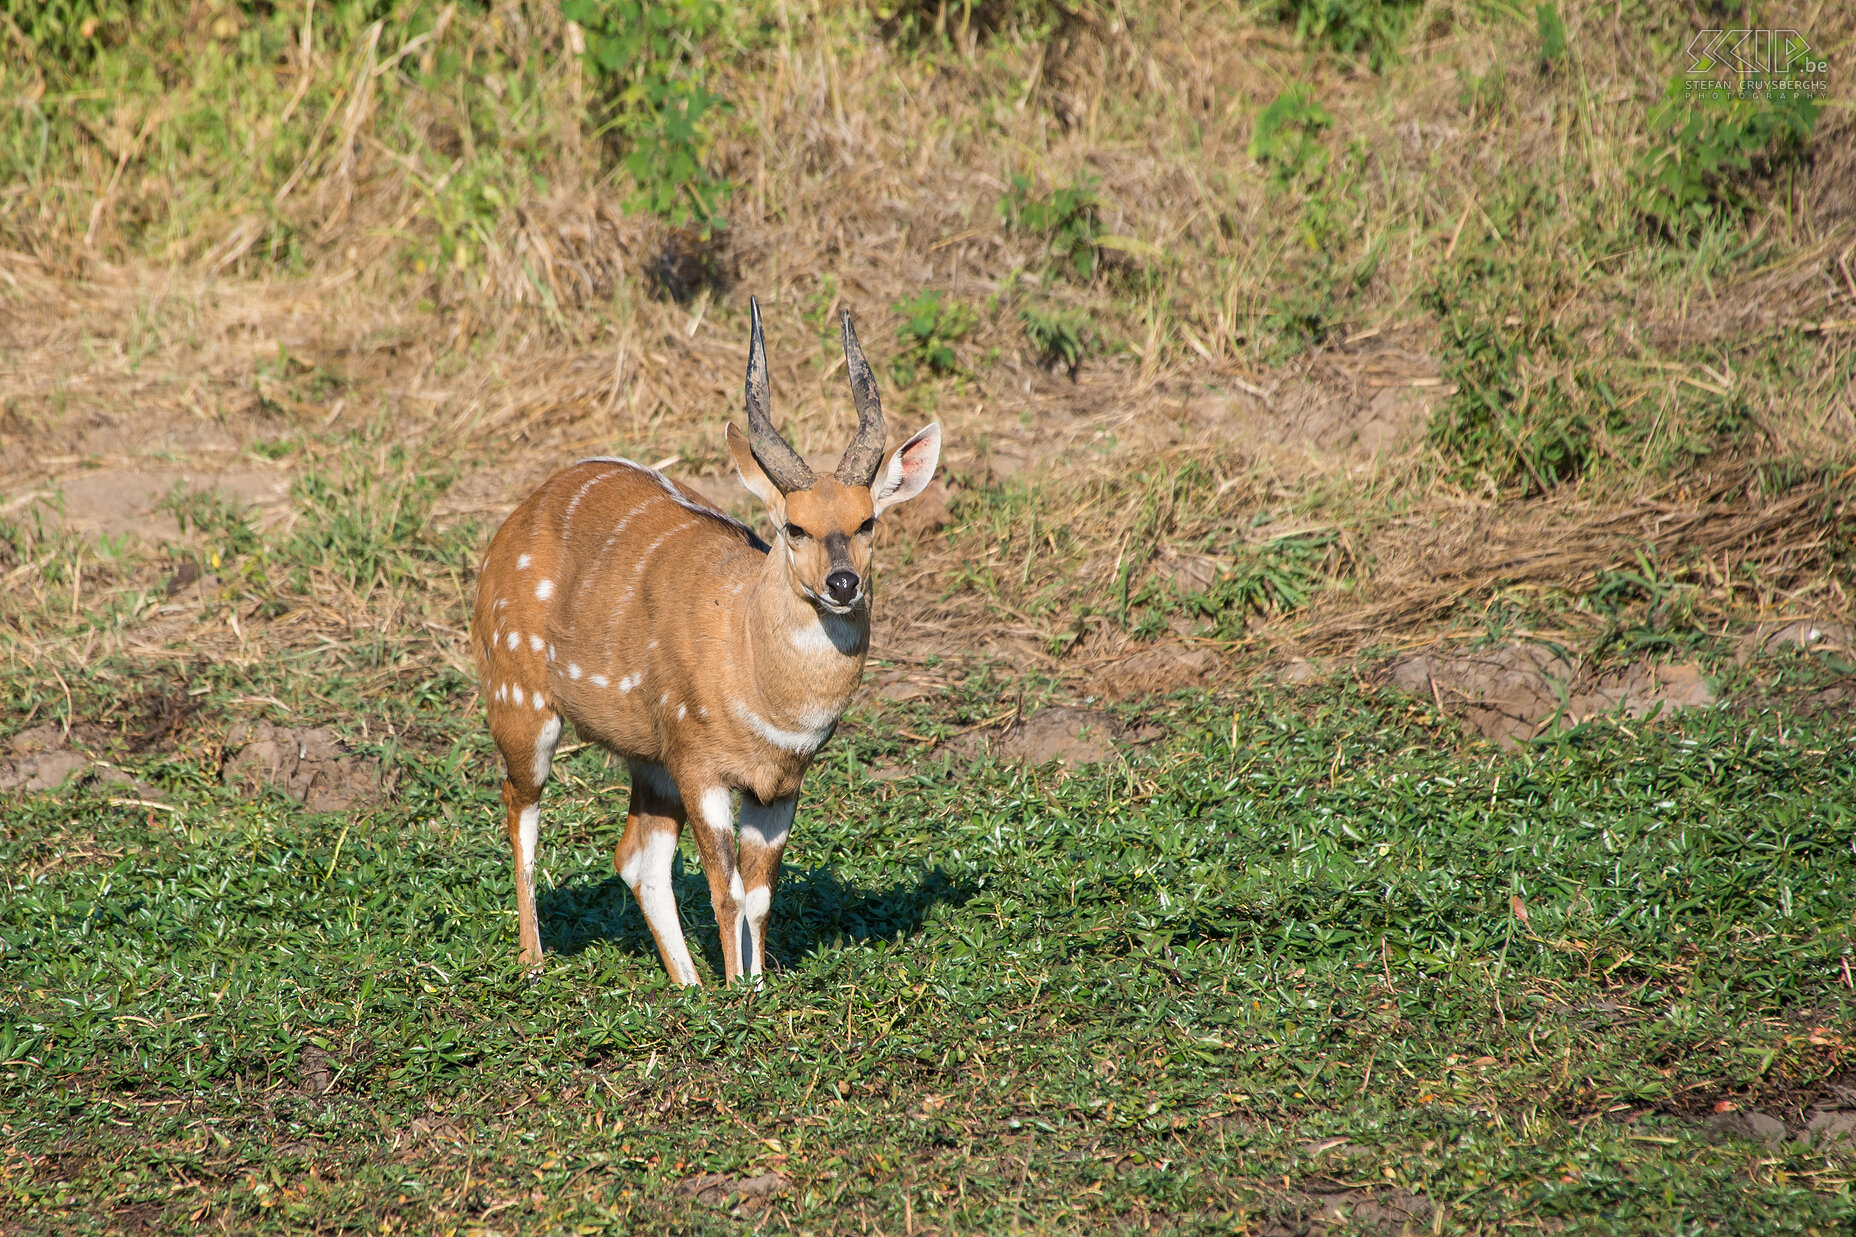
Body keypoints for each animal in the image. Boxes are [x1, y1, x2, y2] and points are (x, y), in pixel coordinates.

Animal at [471, 297, 935, 980]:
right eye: (794, 527)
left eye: (868, 521)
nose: (843, 583)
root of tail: (514, 521)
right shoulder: (700, 765)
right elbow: (728, 889)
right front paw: (736, 993)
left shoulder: (781, 783)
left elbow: (761, 892)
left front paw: (757, 988)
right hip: (522, 705)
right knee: (519, 807)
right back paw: (534, 961)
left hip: (648, 758)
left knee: (635, 858)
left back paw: (686, 984)